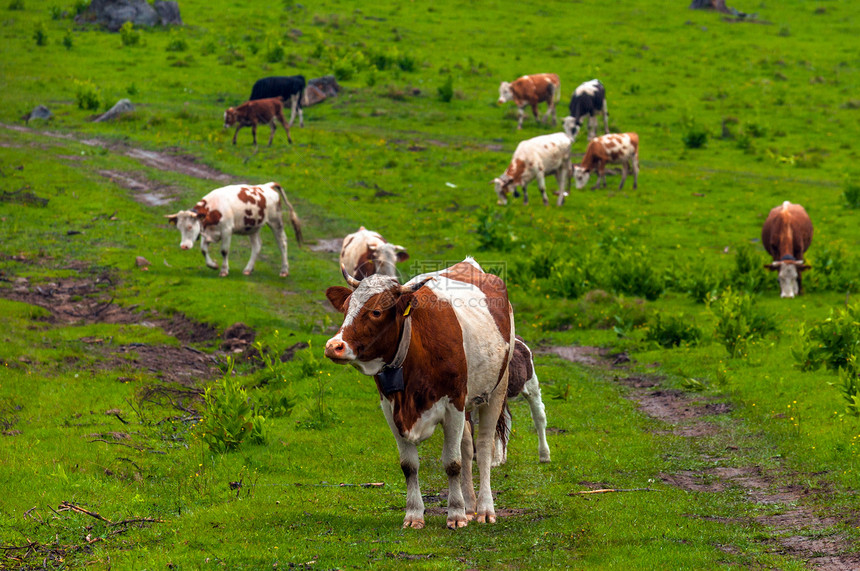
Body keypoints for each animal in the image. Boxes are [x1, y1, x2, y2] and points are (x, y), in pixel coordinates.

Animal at [166, 180, 304, 276]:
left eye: (190, 226)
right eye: (179, 228)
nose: (183, 246)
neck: (213, 210)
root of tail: (267, 186)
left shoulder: (227, 231)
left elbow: (224, 251)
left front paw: (224, 270)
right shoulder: (206, 231)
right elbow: (203, 250)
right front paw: (213, 265)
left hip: (275, 221)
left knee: (282, 242)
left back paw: (284, 270)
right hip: (252, 226)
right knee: (257, 245)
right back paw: (248, 269)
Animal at [320, 258, 510, 528]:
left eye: (376, 312)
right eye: (346, 308)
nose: (333, 346)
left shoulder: (453, 404)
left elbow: (452, 463)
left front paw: (455, 514)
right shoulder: (390, 408)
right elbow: (409, 465)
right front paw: (414, 514)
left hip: (496, 390)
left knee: (483, 448)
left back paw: (484, 509)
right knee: (466, 445)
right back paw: (470, 505)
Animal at [490, 338, 552, 466]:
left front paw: (494, 460)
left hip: (531, 384)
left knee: (539, 416)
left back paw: (544, 455)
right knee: (507, 418)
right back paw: (503, 457)